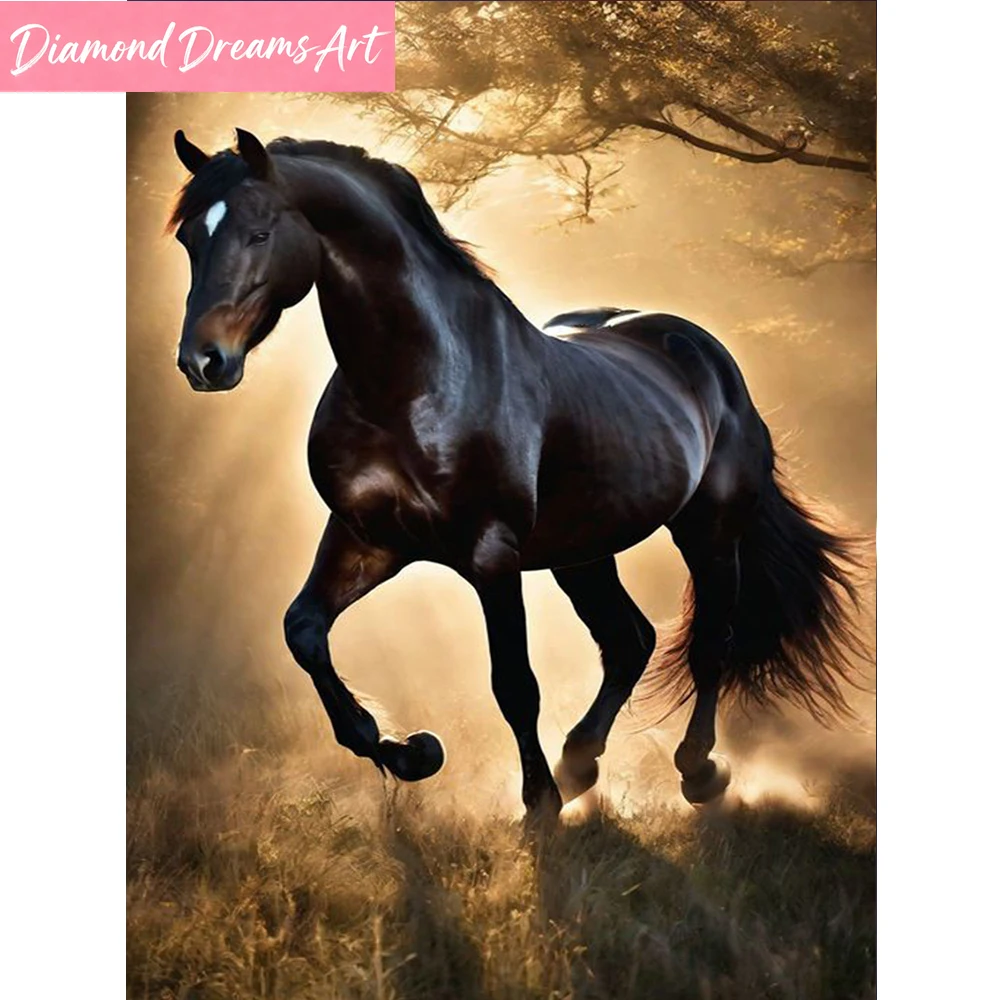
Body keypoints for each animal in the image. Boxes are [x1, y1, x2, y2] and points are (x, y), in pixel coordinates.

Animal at [169, 127, 866, 818]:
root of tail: (703, 351)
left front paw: (539, 806)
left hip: (708, 533)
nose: (202, 361)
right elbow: (304, 632)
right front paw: (411, 752)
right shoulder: (367, 538)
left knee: (709, 644)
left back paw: (696, 772)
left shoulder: (491, 557)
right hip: (582, 551)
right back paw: (580, 760)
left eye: (260, 233)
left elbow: (514, 683)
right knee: (630, 639)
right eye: (189, 240)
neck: (412, 382)